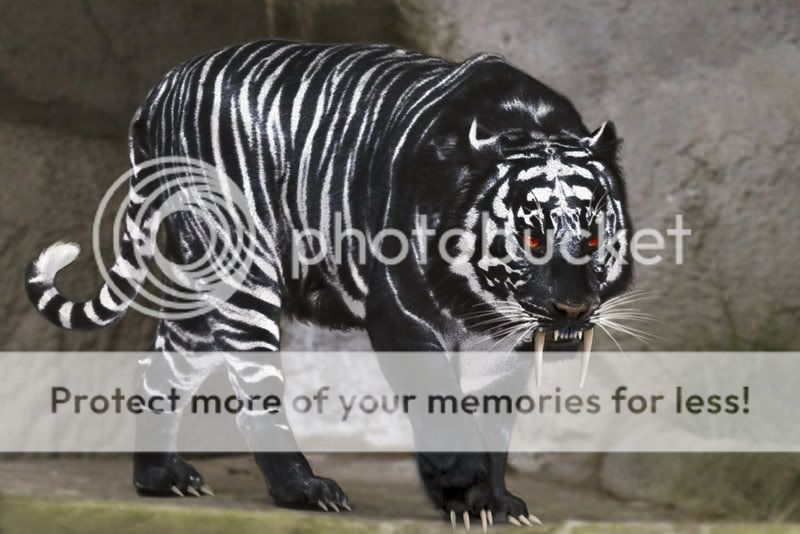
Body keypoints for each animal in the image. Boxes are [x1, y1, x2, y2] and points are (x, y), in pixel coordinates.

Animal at [24, 40, 633, 527]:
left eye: (592, 238)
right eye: (531, 238)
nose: (573, 309)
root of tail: (157, 91)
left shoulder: (505, 342)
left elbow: (496, 425)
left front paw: (496, 502)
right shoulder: (404, 313)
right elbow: (441, 406)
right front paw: (463, 494)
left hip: (199, 287)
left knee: (162, 366)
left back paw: (161, 479)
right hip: (243, 272)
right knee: (254, 388)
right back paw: (305, 491)